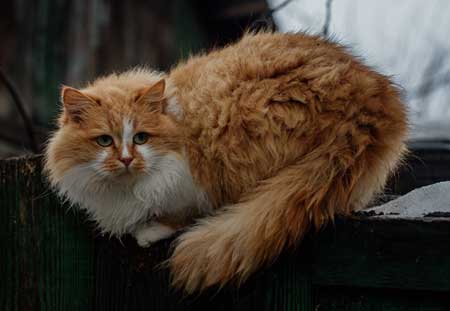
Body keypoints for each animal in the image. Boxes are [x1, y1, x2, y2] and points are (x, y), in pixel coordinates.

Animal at [44, 31, 408, 294]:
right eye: (104, 140)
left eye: (142, 138)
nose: (126, 159)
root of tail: (369, 94)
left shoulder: (188, 183)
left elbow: (178, 213)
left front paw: (149, 230)